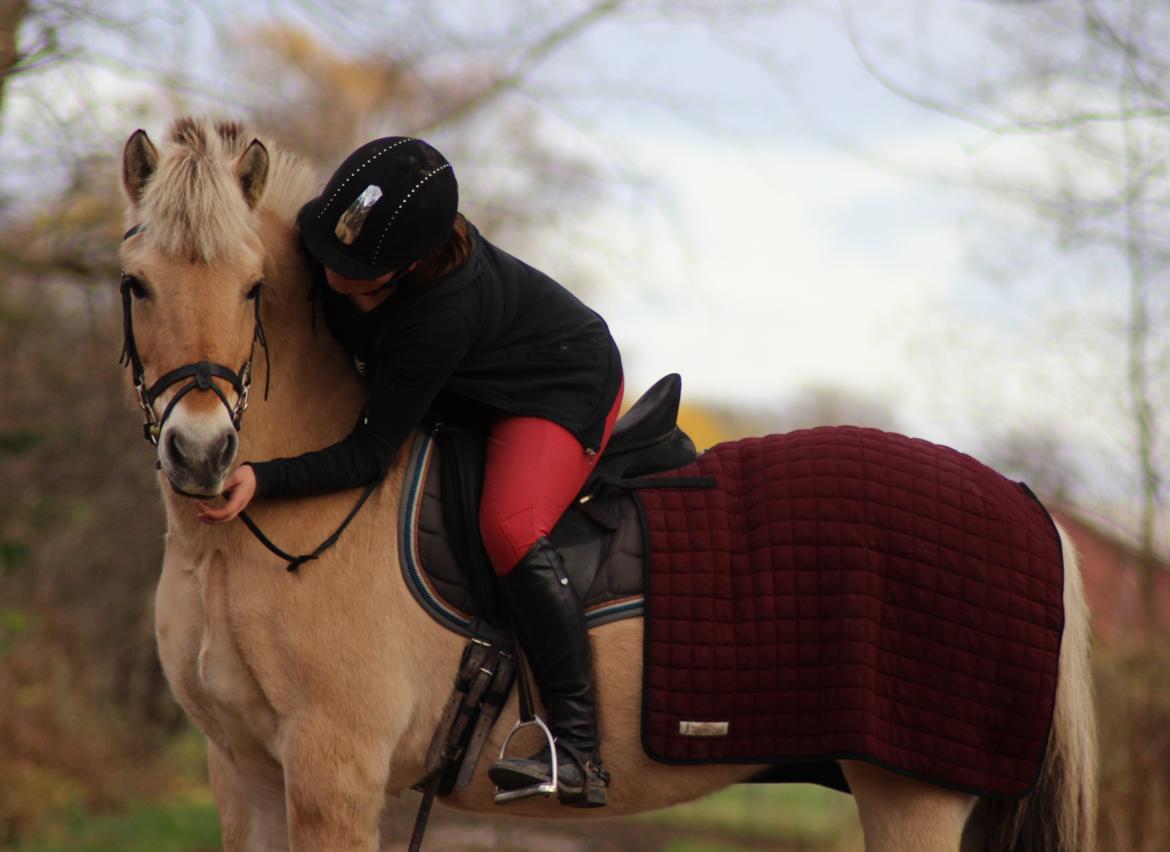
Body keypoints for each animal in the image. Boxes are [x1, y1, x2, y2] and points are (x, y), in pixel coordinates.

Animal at [118, 118, 1095, 852]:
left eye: (253, 290)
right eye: (135, 286)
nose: (202, 455)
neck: (237, 544)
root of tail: (1021, 500)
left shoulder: (334, 772)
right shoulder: (244, 772)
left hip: (912, 795)